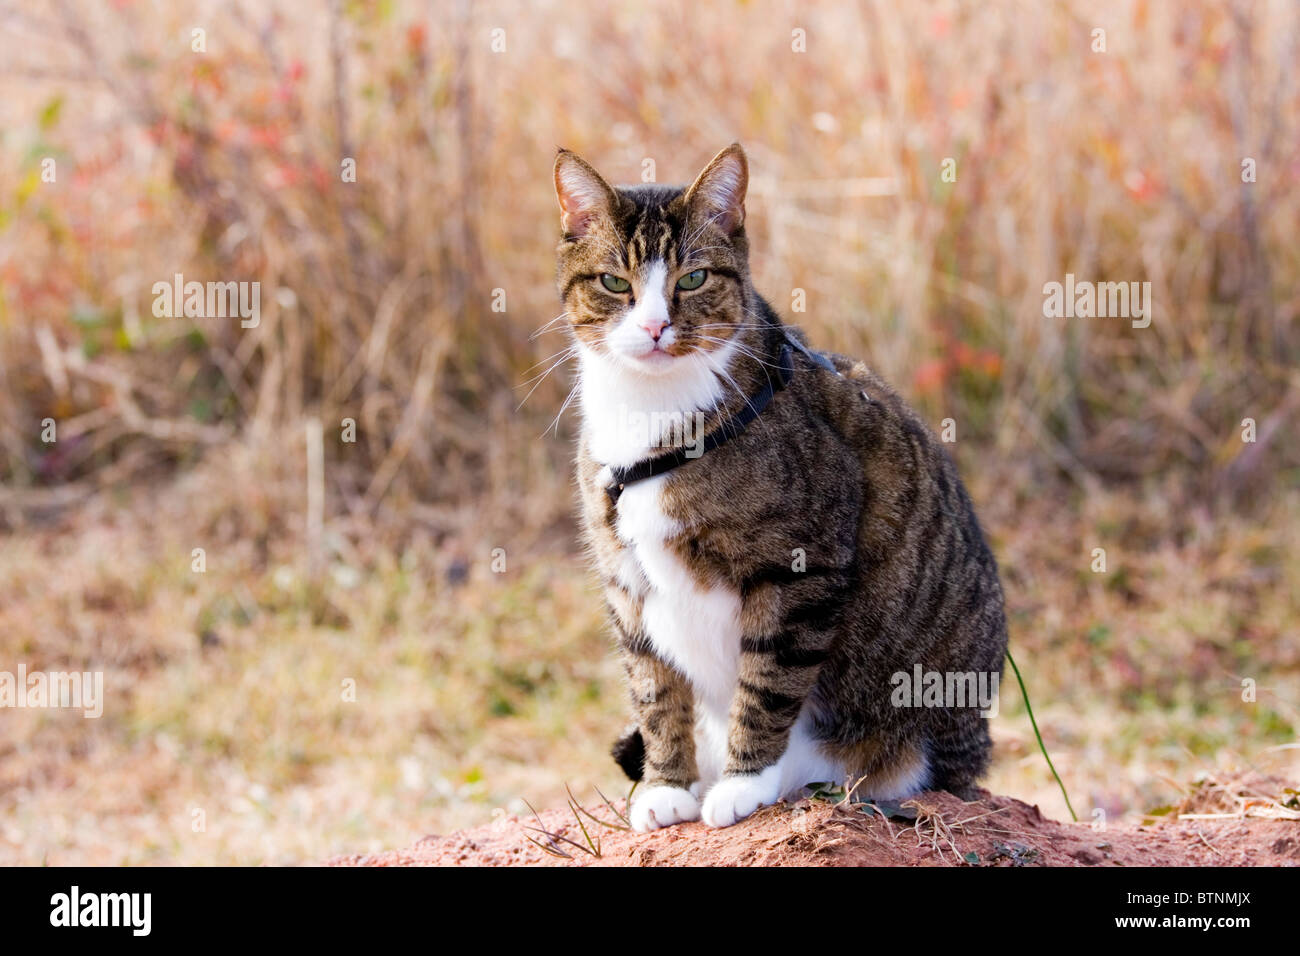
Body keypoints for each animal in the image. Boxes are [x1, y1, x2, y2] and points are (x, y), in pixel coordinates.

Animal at [553, 141, 1008, 832]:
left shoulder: (800, 570)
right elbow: (653, 690)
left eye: (693, 279)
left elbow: (767, 682)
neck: (655, 416)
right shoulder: (626, 580)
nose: (656, 328)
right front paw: (667, 785)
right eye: (614, 283)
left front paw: (744, 782)